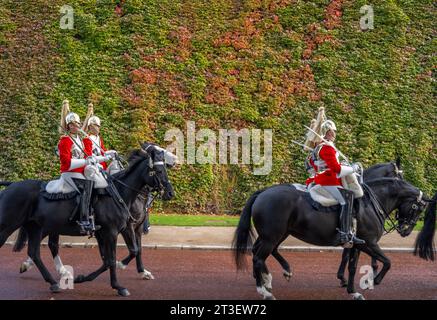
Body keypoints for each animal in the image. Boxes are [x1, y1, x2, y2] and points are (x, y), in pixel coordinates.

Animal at [0, 144, 174, 296]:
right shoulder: (111, 232)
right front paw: (118, 286)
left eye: (164, 169)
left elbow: (129, 252)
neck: (118, 193)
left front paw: (82, 278)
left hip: (37, 227)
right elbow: (111, 259)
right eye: (159, 170)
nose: (170, 193)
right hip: (10, 226)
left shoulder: (120, 229)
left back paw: (54, 281)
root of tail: (10, 186)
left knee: (36, 252)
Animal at [233, 178, 428, 300]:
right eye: (418, 208)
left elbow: (352, 267)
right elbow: (388, 262)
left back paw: (272, 277)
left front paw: (353, 292)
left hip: (278, 234)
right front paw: (374, 281)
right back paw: (264, 290)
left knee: (261, 252)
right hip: (271, 236)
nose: (406, 231)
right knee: (259, 257)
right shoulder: (370, 243)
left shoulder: (356, 245)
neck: (370, 204)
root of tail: (263, 192)